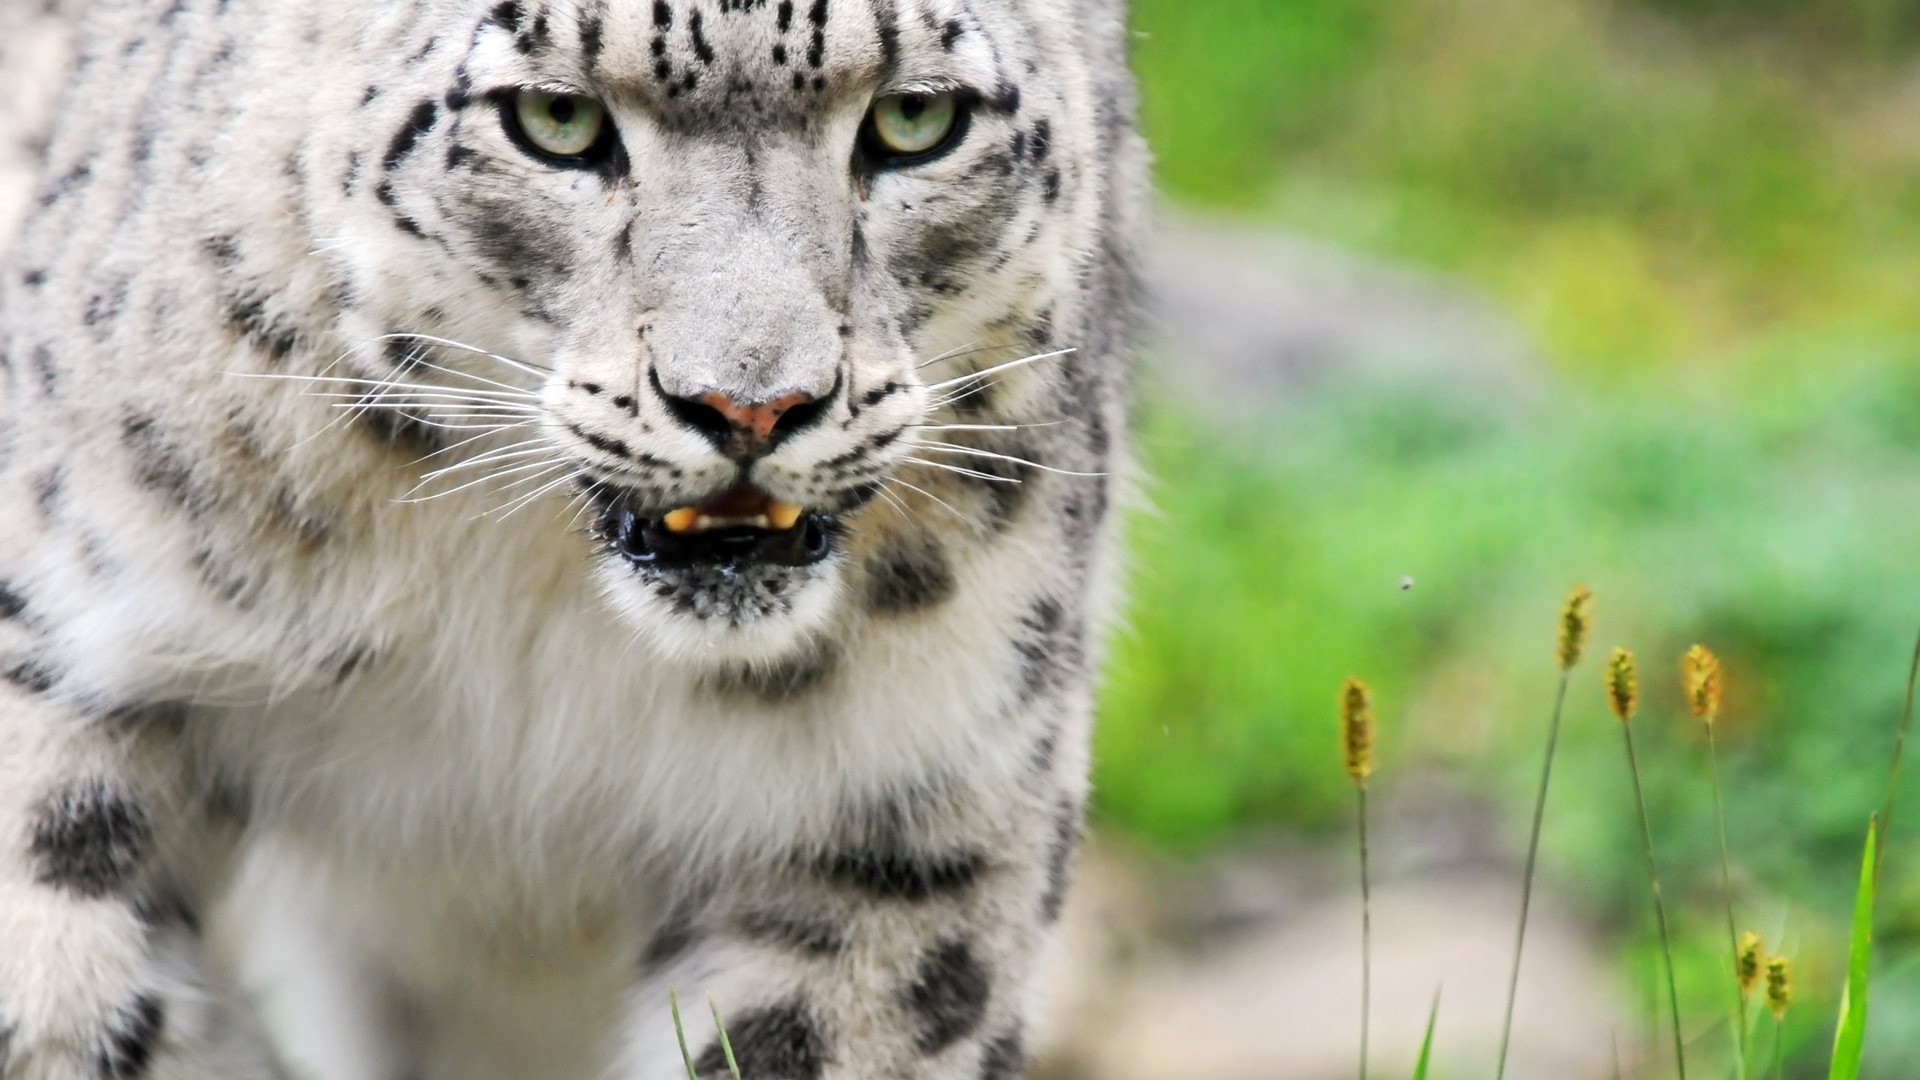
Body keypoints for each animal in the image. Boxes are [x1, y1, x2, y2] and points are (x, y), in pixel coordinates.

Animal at [0, 0, 1145, 1077]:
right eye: (557, 119)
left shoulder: (909, 808)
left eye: (916, 119)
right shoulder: (71, 645)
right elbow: (66, 993)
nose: (752, 405)